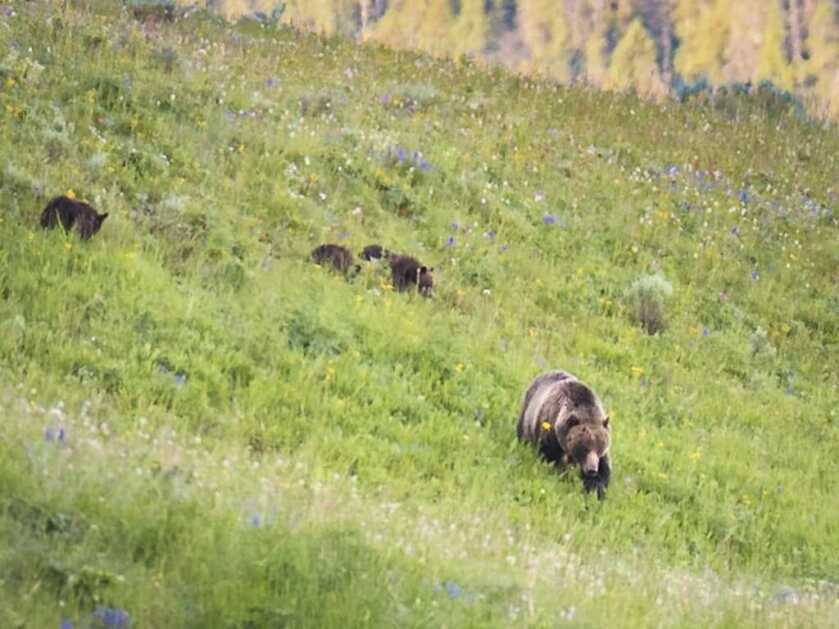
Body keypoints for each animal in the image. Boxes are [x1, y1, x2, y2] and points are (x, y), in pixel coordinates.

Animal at [517, 370, 611, 499]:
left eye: (599, 449)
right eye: (585, 448)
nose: (592, 469)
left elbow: (603, 471)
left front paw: (595, 489)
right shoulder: (550, 434)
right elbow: (551, 459)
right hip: (527, 414)